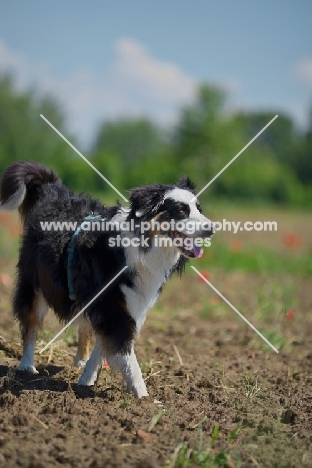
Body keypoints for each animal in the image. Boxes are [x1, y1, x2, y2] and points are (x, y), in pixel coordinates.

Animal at [0, 163, 214, 396]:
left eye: (199, 209)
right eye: (181, 210)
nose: (211, 229)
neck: (140, 249)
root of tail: (53, 191)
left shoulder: (134, 302)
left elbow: (104, 344)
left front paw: (86, 380)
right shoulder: (112, 305)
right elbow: (125, 350)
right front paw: (143, 397)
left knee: (84, 325)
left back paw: (80, 363)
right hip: (34, 281)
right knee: (31, 321)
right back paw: (27, 366)